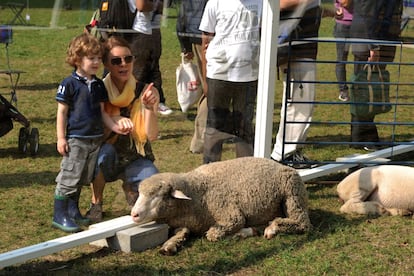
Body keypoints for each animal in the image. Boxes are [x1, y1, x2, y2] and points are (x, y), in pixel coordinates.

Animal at [129, 156, 310, 256]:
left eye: (158, 196)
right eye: (140, 193)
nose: (134, 214)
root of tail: (282, 165)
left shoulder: (232, 216)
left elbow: (213, 234)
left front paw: (235, 234)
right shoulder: (184, 223)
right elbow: (180, 232)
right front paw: (170, 245)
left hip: (292, 195)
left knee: (303, 223)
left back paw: (271, 228)